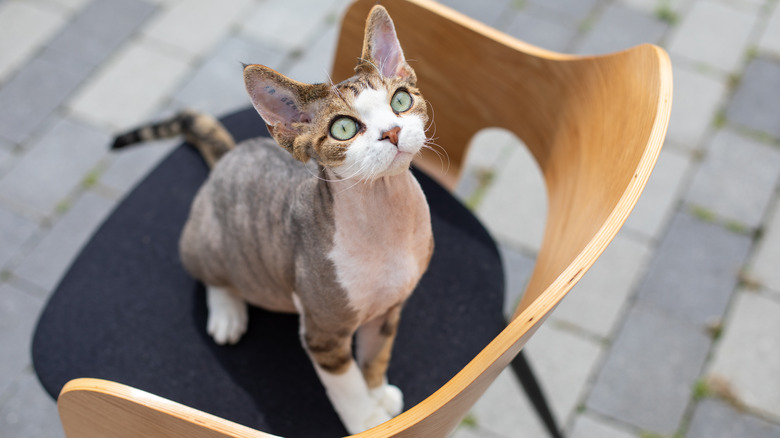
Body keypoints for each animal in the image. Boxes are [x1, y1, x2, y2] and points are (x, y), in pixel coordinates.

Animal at [111, 6, 432, 434]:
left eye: (400, 100)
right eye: (344, 128)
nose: (393, 132)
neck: (386, 221)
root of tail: (230, 155)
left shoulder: (390, 307)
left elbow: (377, 353)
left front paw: (378, 392)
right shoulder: (322, 332)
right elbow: (346, 385)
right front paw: (367, 420)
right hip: (207, 240)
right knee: (211, 273)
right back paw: (227, 312)